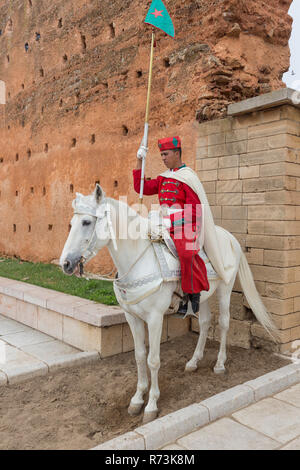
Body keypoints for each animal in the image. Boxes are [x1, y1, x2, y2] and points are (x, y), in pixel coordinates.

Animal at [59, 185, 278, 424]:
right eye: (71, 222)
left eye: (86, 222)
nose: (65, 263)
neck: (138, 260)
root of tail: (230, 238)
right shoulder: (131, 317)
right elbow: (139, 356)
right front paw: (137, 399)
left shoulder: (155, 318)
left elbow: (153, 360)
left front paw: (151, 405)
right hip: (204, 294)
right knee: (205, 323)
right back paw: (194, 361)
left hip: (225, 289)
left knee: (223, 323)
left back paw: (220, 364)